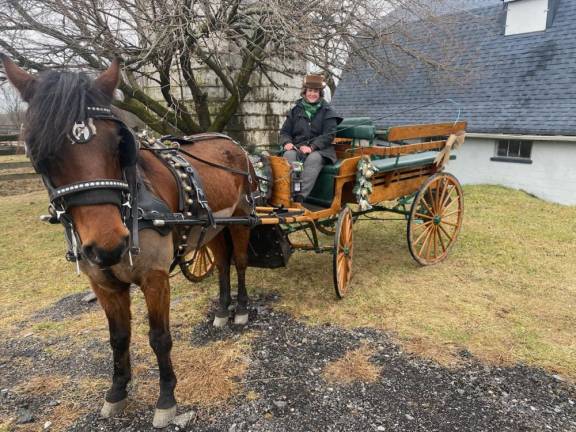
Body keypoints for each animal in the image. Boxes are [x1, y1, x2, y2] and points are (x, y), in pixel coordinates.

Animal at [0, 54, 256, 428]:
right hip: (212, 228)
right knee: (222, 263)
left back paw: (241, 310)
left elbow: (159, 338)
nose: (108, 246)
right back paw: (223, 310)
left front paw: (166, 399)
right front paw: (117, 391)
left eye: (118, 144)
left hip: (241, 217)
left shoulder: (154, 278)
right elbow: (118, 338)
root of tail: (233, 144)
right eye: (41, 152)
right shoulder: (104, 284)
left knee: (239, 262)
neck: (132, 206)